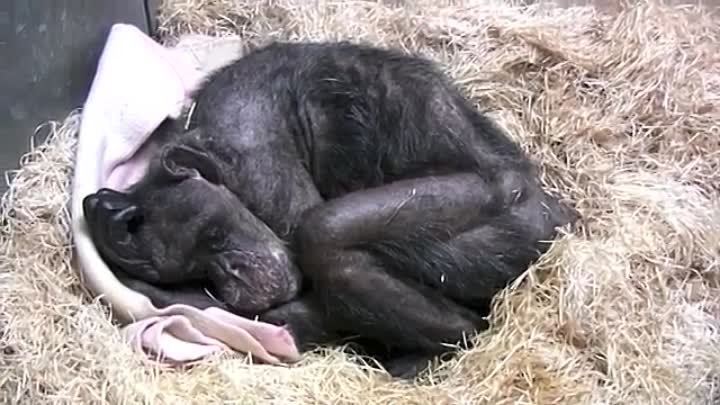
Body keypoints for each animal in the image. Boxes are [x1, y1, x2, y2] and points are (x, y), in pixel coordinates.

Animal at [83, 40, 580, 376]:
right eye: (194, 271)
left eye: (213, 237)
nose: (233, 277)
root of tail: (561, 214)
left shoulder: (260, 165)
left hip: (506, 217)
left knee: (326, 234)